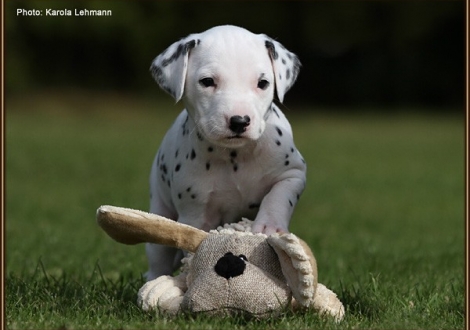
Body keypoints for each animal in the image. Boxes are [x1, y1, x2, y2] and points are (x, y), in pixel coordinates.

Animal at [148, 24, 308, 280]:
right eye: (207, 81)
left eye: (263, 83)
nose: (239, 121)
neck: (235, 156)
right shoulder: (196, 214)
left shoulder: (293, 173)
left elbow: (279, 194)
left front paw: (269, 225)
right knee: (157, 259)